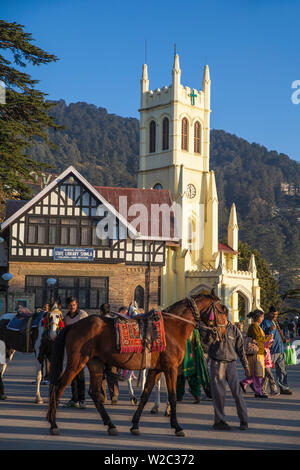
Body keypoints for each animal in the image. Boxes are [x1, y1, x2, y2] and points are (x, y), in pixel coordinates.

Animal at [47, 290, 226, 436]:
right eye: (222, 309)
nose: (223, 334)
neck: (173, 328)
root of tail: (73, 326)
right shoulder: (171, 368)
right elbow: (173, 397)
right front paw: (177, 427)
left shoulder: (155, 370)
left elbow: (145, 395)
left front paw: (135, 425)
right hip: (76, 361)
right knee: (58, 387)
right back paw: (53, 424)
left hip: (95, 363)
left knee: (94, 393)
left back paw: (111, 425)